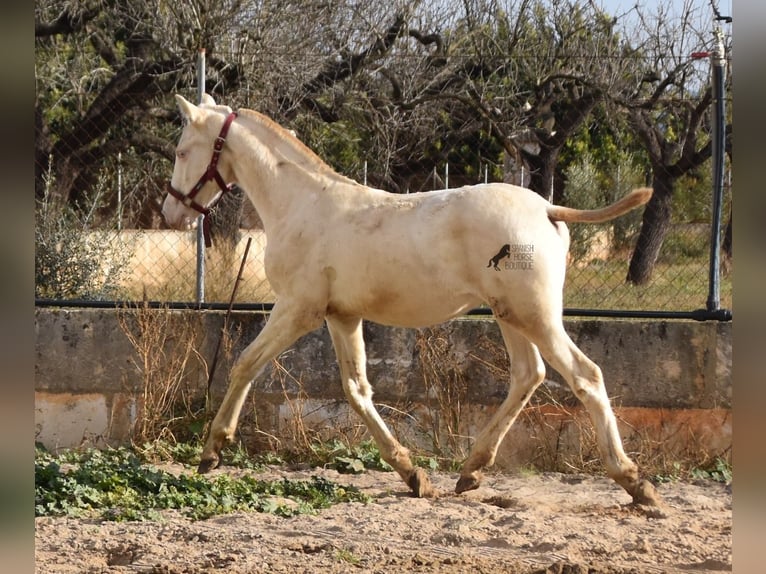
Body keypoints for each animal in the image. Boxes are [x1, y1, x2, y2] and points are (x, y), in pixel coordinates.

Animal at [160, 94, 660, 508]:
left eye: (182, 151)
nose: (171, 213)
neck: (302, 206)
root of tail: (547, 208)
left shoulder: (298, 309)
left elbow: (245, 362)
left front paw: (211, 451)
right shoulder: (341, 316)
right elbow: (357, 390)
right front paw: (412, 474)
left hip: (534, 316)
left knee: (585, 376)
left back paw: (635, 482)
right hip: (511, 315)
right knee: (528, 374)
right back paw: (471, 472)